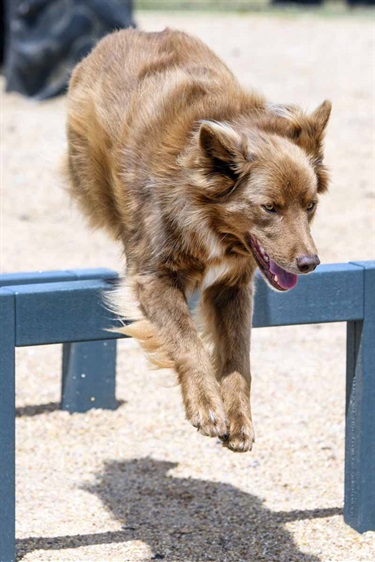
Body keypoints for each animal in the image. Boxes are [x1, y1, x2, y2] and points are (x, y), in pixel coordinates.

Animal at [65, 29, 332, 450]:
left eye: (310, 205)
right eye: (269, 208)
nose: (310, 264)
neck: (206, 217)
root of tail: (133, 31)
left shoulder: (232, 287)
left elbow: (239, 356)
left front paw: (239, 419)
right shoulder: (153, 278)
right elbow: (188, 341)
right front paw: (207, 406)